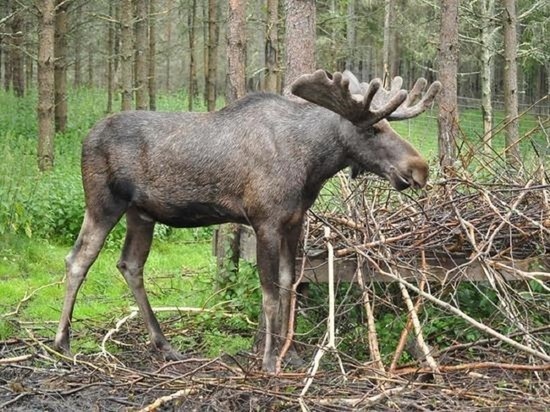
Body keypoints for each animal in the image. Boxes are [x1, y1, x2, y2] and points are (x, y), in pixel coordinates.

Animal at [55, 70, 444, 374]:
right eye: (373, 130)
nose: (419, 168)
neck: (312, 165)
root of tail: (85, 138)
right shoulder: (265, 220)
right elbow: (269, 293)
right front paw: (270, 360)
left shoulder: (294, 221)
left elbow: (289, 285)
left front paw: (293, 355)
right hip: (104, 203)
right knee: (78, 259)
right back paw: (63, 343)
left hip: (142, 213)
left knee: (130, 264)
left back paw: (164, 344)